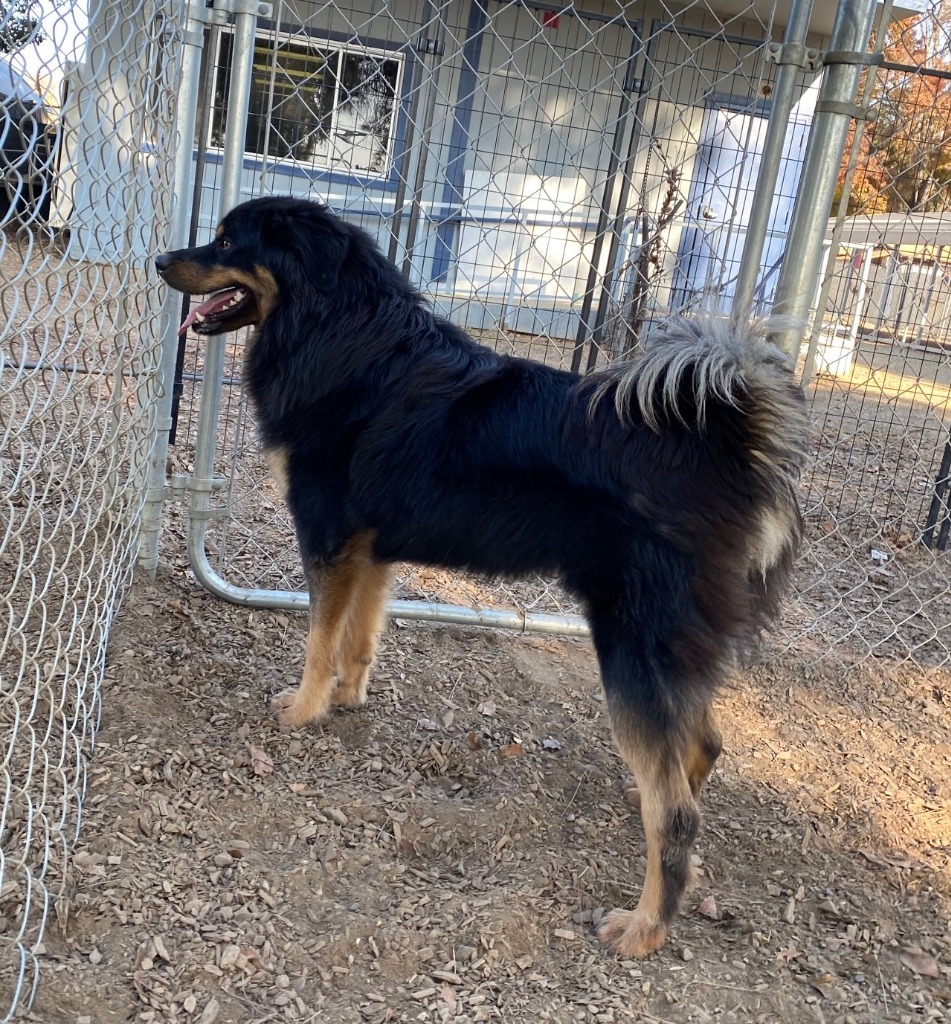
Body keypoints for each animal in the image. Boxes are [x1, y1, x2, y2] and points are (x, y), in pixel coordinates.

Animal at [155, 197, 810, 958]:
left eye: (228, 242)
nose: (160, 261)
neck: (340, 331)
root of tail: (728, 450)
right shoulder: (371, 549)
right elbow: (359, 635)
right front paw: (347, 698)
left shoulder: (326, 536)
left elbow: (319, 639)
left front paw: (302, 709)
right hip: (671, 653)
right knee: (697, 749)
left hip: (631, 650)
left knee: (675, 814)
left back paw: (644, 928)